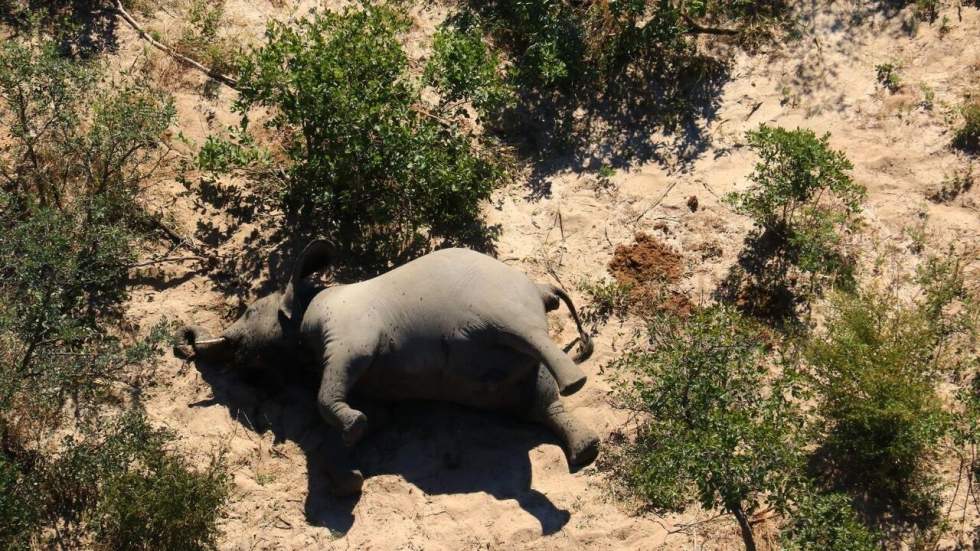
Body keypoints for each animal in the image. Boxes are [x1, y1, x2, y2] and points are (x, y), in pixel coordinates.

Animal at [176, 242, 596, 496]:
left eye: (249, 311)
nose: (185, 341)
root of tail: (541, 288)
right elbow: (373, 416)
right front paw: (350, 476)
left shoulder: (349, 332)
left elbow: (329, 390)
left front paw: (352, 430)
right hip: (506, 376)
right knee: (537, 400)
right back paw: (586, 451)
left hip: (504, 306)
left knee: (529, 340)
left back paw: (576, 385)